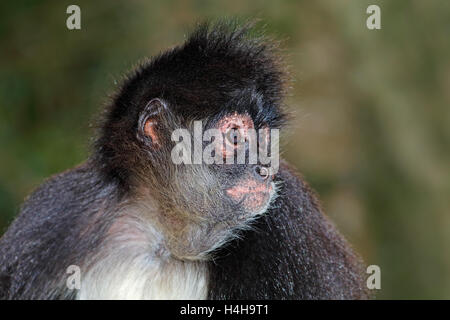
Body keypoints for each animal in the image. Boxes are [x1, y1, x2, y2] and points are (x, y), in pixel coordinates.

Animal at [0, 21, 370, 298]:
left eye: (265, 138)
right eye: (235, 137)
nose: (266, 170)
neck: (167, 242)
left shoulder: (290, 213)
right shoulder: (60, 212)